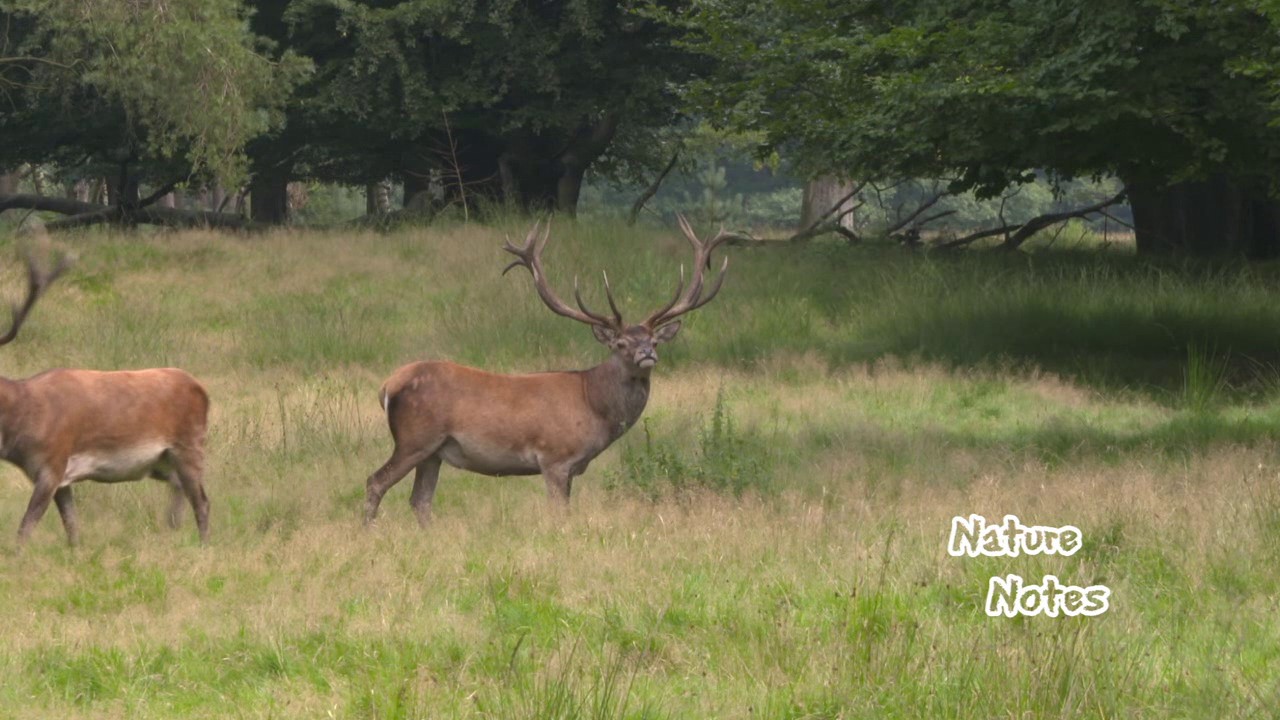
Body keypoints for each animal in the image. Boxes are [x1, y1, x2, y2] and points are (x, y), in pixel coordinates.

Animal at [0, 253, 210, 546]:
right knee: (179, 491)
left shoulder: (53, 463)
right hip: (162, 462)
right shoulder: (62, 478)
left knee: (202, 501)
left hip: (190, 445)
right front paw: (76, 552)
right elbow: (72, 527)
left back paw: (203, 546)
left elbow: (25, 527)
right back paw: (173, 530)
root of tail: (201, 389)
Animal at [363, 215, 731, 525]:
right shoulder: (555, 458)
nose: (646, 354)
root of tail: (387, 386)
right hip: (415, 438)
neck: (593, 405)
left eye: (654, 340)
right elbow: (560, 514)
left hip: (433, 451)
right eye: (620, 343)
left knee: (420, 500)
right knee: (375, 482)